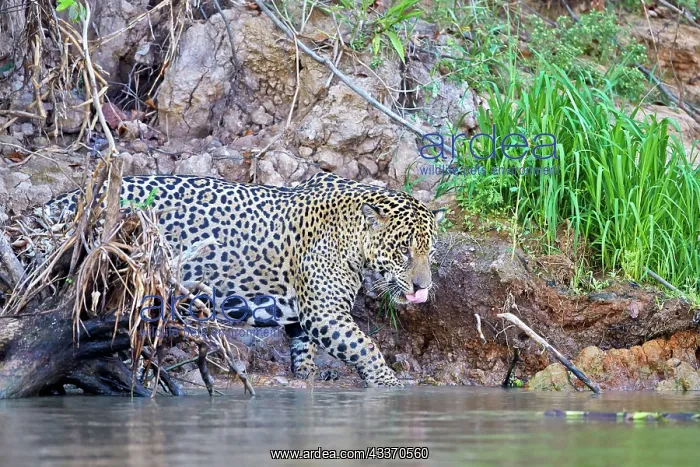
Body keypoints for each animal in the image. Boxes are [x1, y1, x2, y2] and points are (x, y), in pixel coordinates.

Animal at [43, 172, 444, 387]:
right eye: (403, 250)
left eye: (430, 250)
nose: (422, 287)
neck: (353, 235)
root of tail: (63, 199)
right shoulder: (325, 313)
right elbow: (364, 345)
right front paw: (387, 382)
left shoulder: (304, 310)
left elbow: (302, 343)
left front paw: (309, 374)